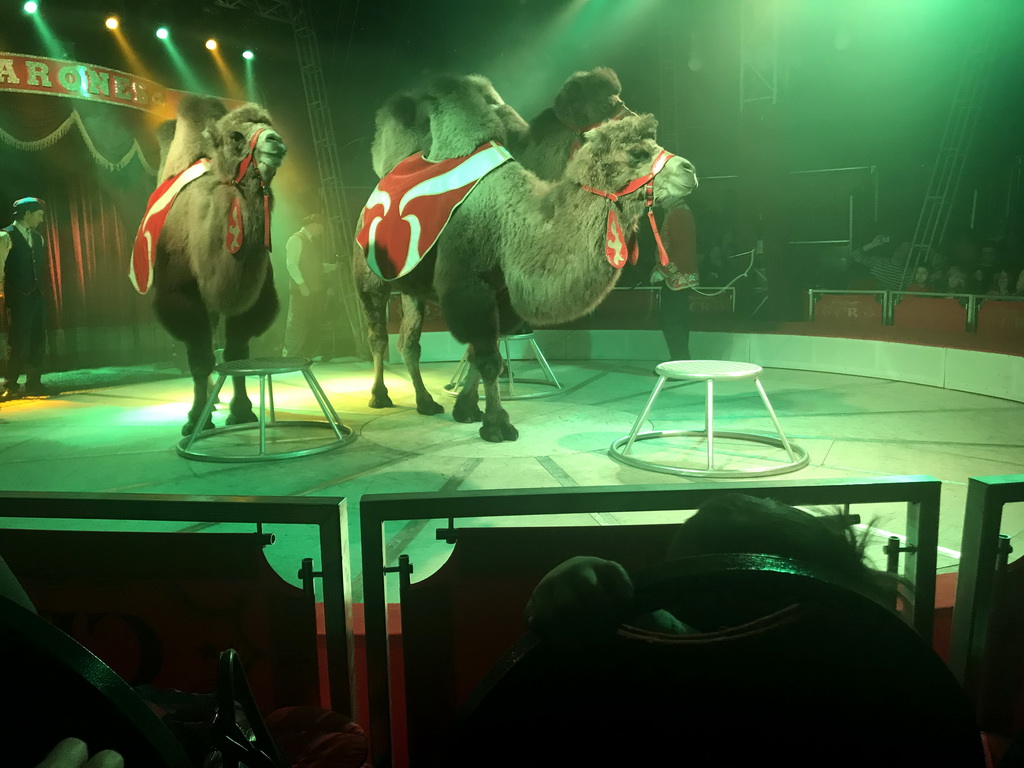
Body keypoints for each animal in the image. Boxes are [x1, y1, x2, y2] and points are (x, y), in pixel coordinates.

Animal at [137, 95, 288, 434]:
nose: (276, 141)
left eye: (269, 126)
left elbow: (235, 355)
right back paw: (207, 403)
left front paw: (242, 412)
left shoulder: (253, 298)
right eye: (236, 137)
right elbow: (200, 359)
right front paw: (196, 420)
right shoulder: (180, 294)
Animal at [352, 76, 696, 444]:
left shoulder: (503, 298)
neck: (511, 223)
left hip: (411, 286)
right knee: (377, 334)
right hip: (368, 278)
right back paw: (379, 395)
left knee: (409, 341)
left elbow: (480, 355)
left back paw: (425, 402)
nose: (690, 169)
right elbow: (489, 360)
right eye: (637, 153)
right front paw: (497, 424)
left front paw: (467, 409)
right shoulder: (470, 286)